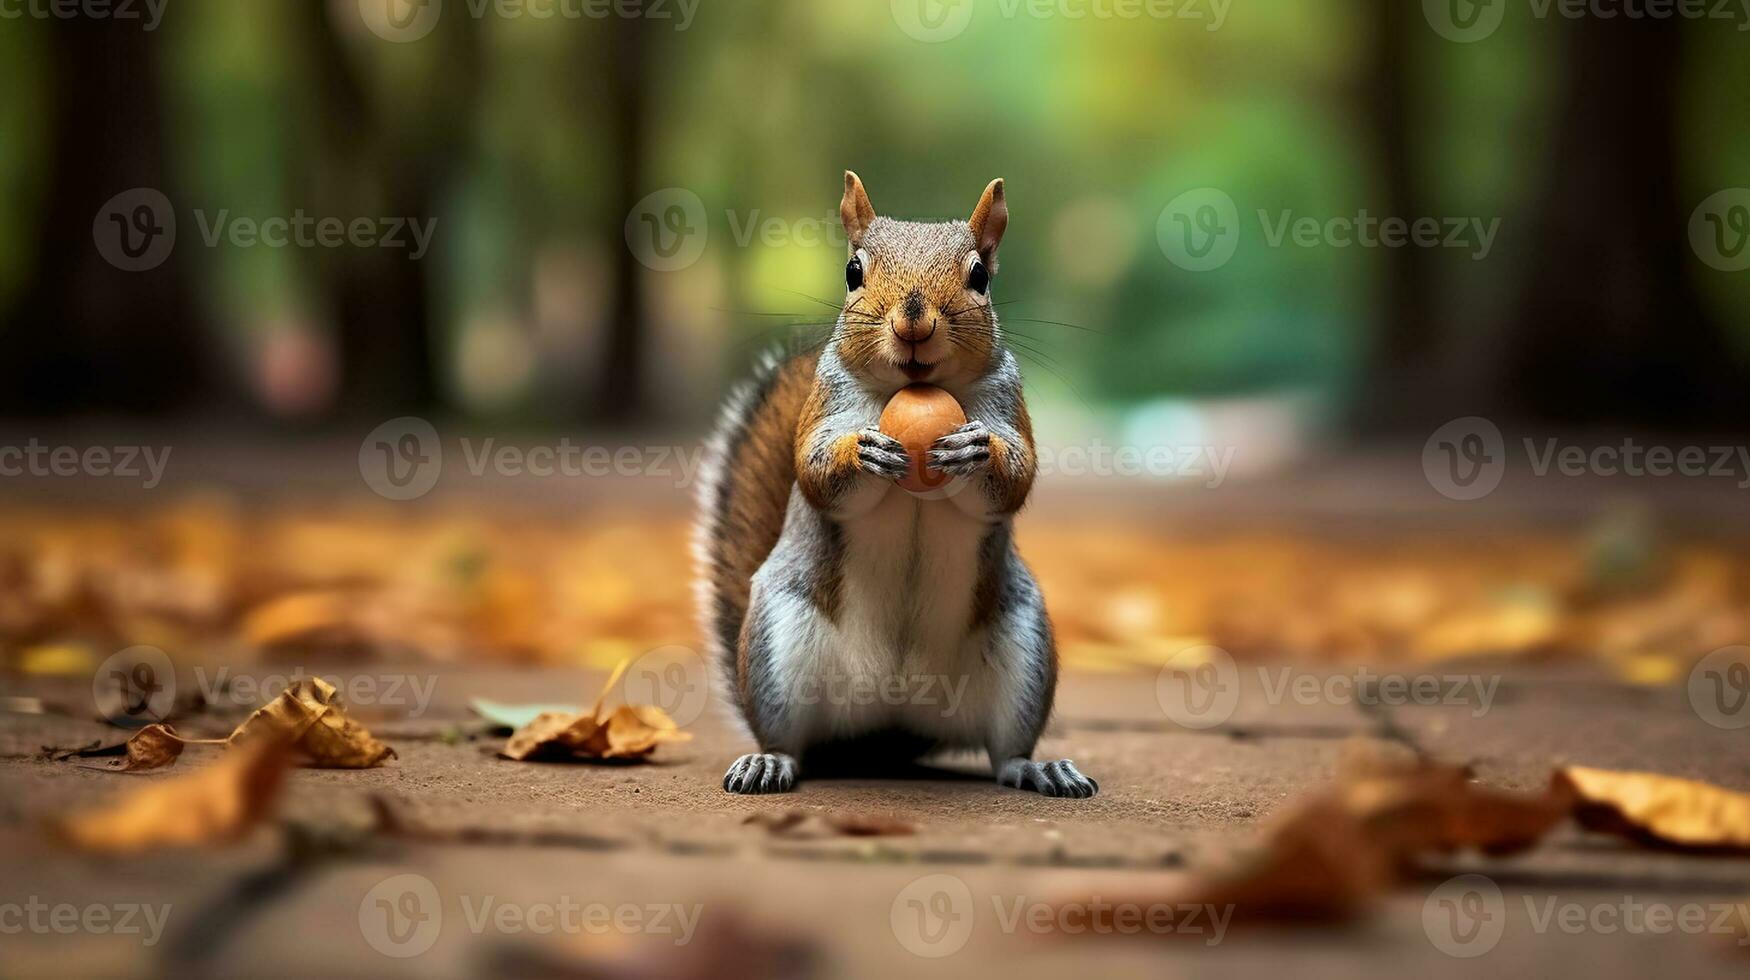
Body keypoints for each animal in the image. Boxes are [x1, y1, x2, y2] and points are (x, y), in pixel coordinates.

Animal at [693, 170, 1092, 798]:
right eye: (852, 271)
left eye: (980, 276)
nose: (914, 322)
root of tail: (887, 724)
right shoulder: (827, 404)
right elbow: (814, 471)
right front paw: (863, 453)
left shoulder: (1007, 400)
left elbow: (1017, 475)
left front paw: (977, 452)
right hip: (778, 649)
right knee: (788, 739)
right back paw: (769, 761)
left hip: (1023, 646)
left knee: (1006, 750)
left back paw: (1037, 768)